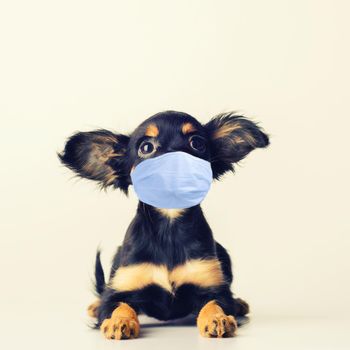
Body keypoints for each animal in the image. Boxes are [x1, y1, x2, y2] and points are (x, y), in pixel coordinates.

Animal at [58, 110, 270, 338]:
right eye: (146, 147)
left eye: (197, 143)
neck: (169, 227)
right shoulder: (120, 290)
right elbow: (118, 305)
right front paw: (119, 322)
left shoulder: (213, 286)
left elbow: (215, 303)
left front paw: (217, 318)